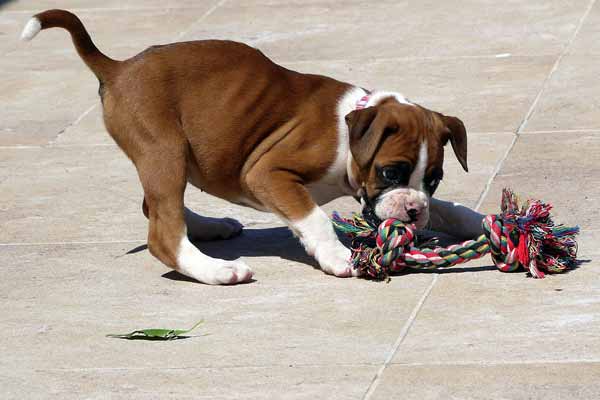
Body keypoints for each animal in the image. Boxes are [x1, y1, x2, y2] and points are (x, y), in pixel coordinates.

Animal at [21, 9, 486, 284]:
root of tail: (117, 68)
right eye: (391, 171)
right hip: (164, 150)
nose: (414, 211)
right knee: (163, 232)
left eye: (434, 179)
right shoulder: (268, 173)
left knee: (155, 207)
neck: (351, 125)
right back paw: (217, 270)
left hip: (171, 159)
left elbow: (450, 210)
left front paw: (478, 221)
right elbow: (314, 217)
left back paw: (209, 227)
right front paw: (337, 256)